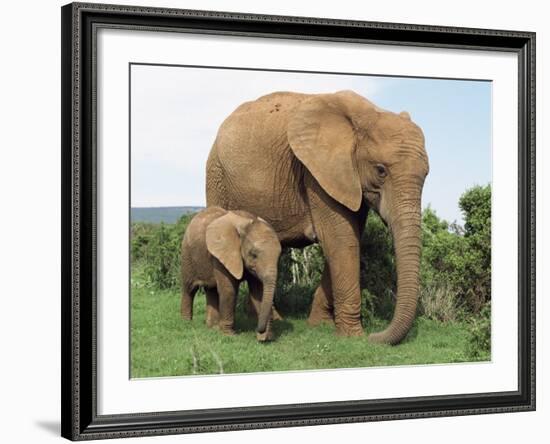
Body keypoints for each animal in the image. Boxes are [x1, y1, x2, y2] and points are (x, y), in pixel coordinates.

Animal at [182, 207, 282, 340]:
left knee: (211, 289)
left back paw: (212, 327)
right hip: (187, 254)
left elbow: (258, 292)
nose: (259, 330)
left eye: (278, 256)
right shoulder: (220, 254)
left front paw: (265, 338)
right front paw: (229, 335)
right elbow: (229, 290)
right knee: (189, 289)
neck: (246, 222)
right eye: (253, 255)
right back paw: (186, 322)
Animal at [207, 90, 432, 346]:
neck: (365, 114)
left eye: (427, 174)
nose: (374, 336)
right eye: (380, 170)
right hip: (216, 174)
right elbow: (341, 240)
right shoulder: (316, 173)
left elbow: (348, 239)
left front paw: (319, 325)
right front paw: (352, 336)